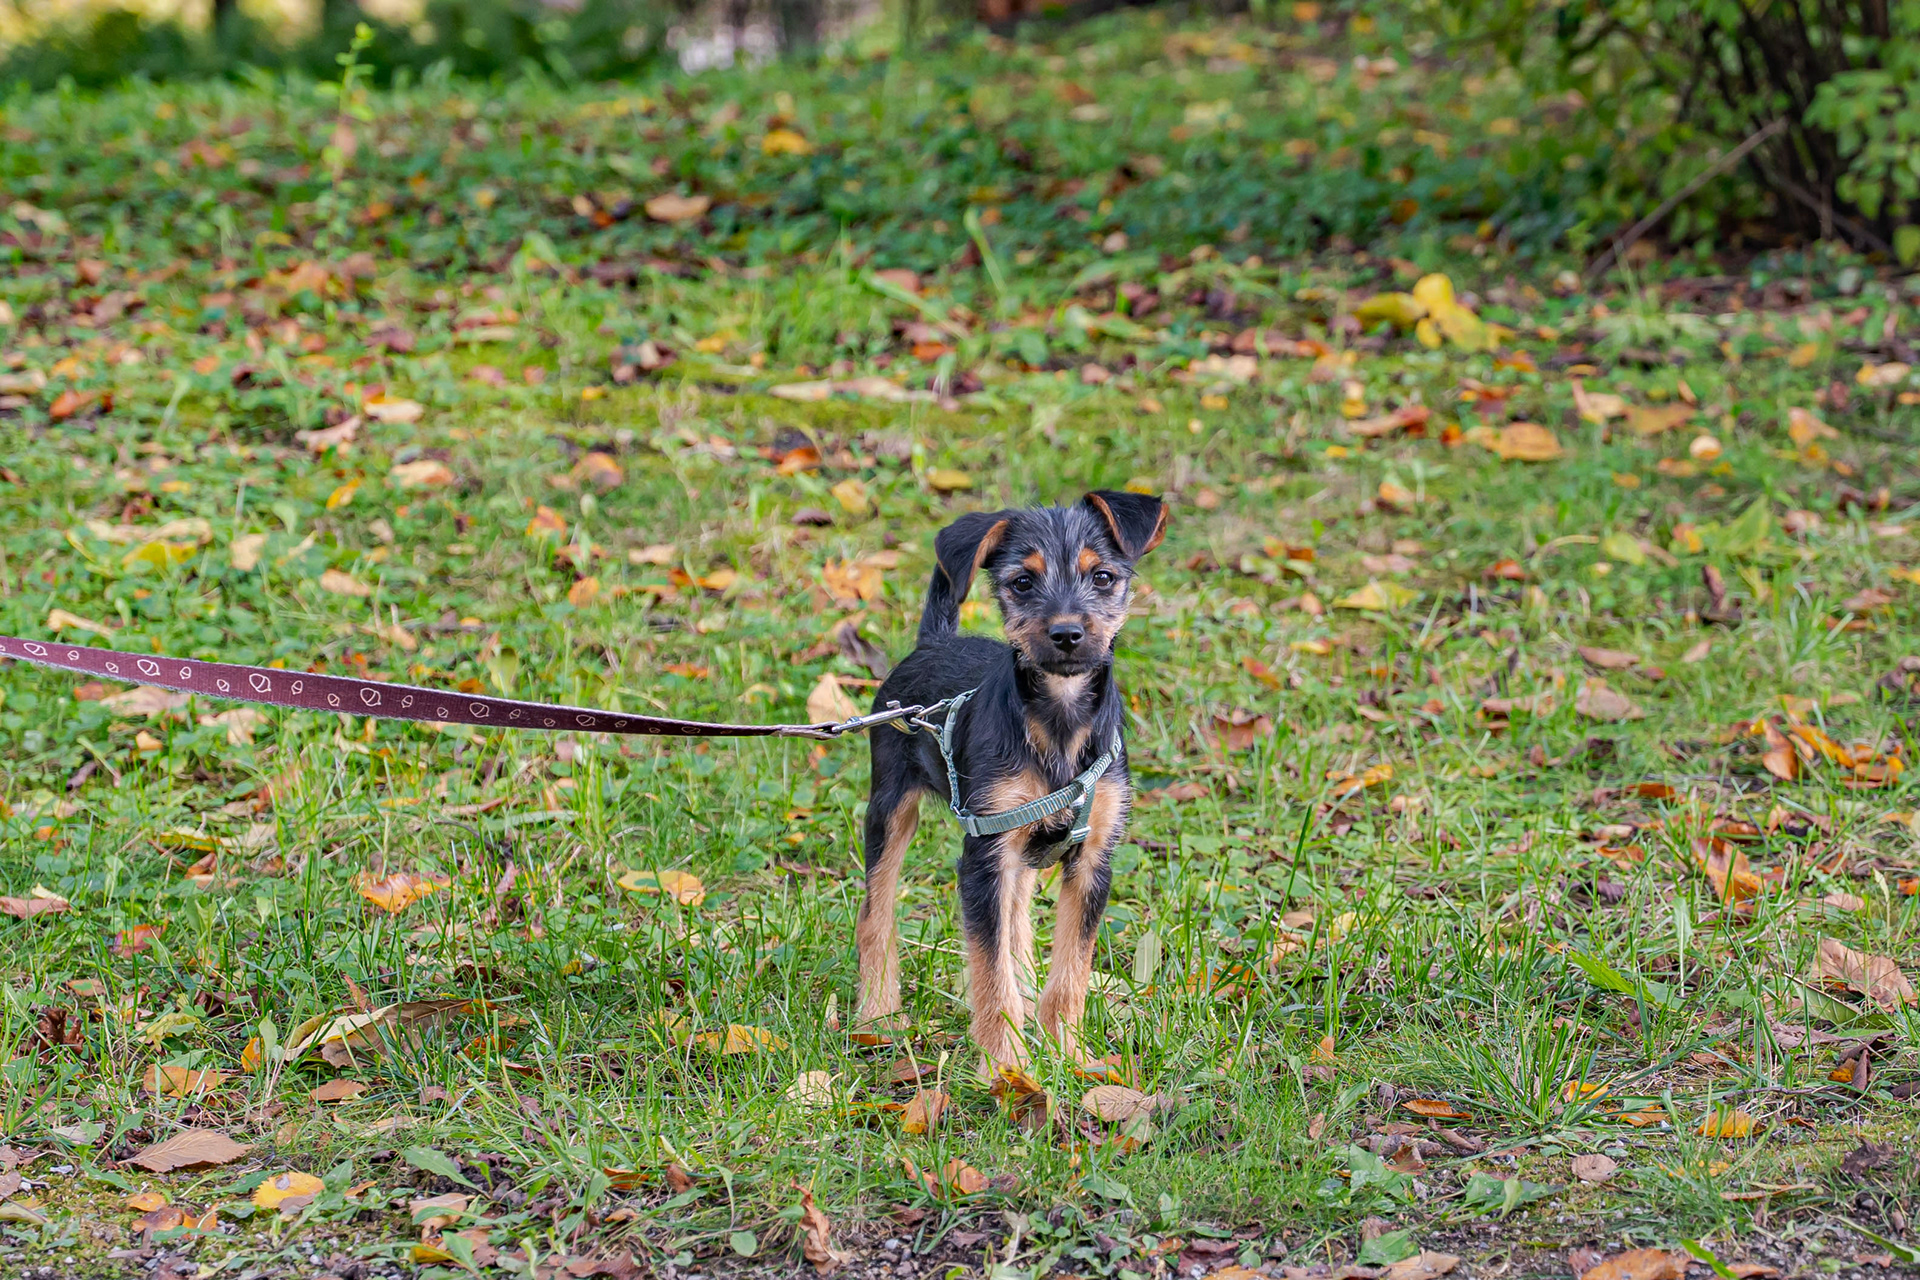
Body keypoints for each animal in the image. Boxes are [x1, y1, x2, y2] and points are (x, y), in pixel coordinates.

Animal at [855, 491, 1167, 1075]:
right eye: (1022, 582)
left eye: (1104, 577)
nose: (1066, 634)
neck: (1060, 722)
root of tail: (933, 643)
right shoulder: (984, 857)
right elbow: (989, 970)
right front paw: (1006, 1068)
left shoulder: (1092, 861)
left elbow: (1069, 971)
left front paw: (1069, 1055)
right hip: (890, 806)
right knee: (875, 914)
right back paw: (877, 1015)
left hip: (1020, 852)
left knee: (1018, 928)